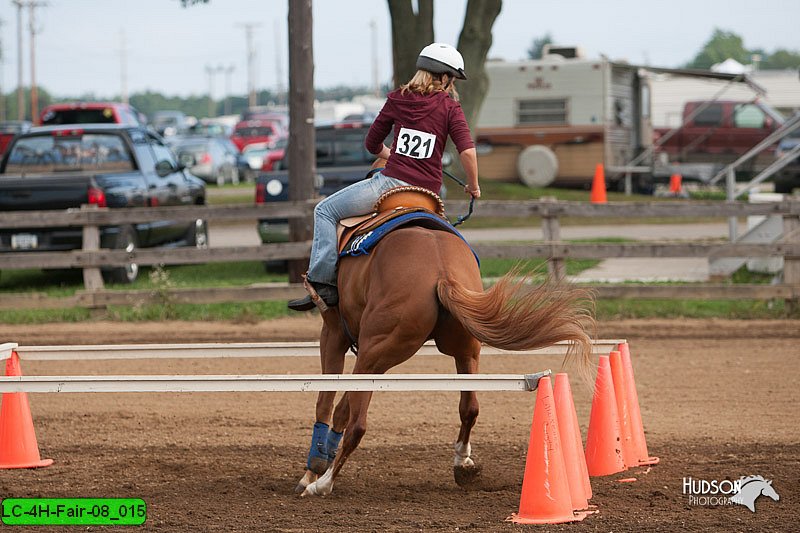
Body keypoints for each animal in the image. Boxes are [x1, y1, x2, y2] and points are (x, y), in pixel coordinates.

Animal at [296, 190, 592, 494]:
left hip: (372, 355)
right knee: (469, 408)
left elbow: (325, 401)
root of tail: (442, 272)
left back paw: (322, 484)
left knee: (357, 423)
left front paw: (312, 470)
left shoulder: (332, 334)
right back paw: (462, 463)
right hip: (460, 351)